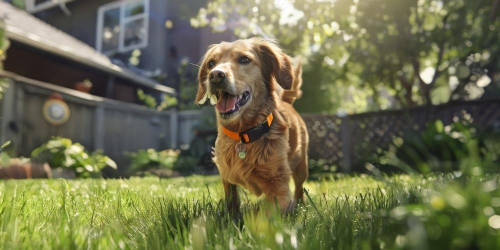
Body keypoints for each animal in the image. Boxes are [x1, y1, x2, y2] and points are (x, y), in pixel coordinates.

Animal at [196, 37, 308, 213]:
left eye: (244, 59)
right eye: (211, 63)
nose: (215, 75)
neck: (244, 133)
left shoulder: (277, 182)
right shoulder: (226, 175)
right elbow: (232, 201)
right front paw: (232, 215)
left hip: (301, 166)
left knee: (299, 188)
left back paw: (299, 204)